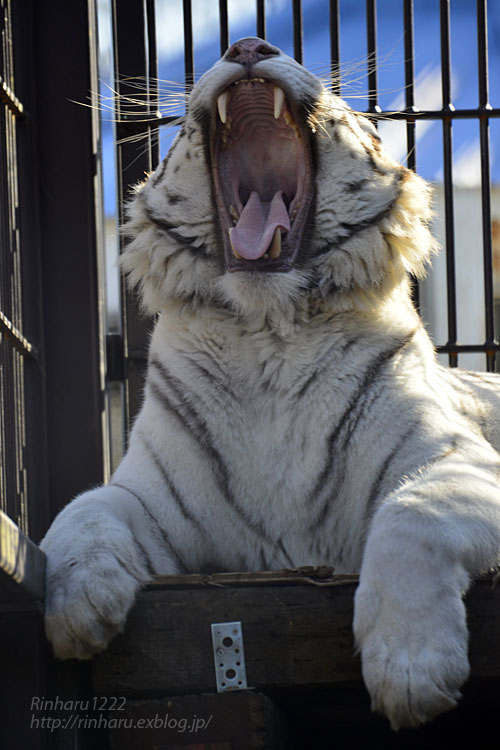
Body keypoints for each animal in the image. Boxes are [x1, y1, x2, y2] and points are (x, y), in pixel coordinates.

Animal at [40, 38, 500, 732]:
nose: (248, 45)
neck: (269, 334)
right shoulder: (155, 495)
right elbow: (84, 511)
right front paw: (74, 608)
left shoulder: (457, 459)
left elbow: (413, 513)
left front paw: (412, 671)